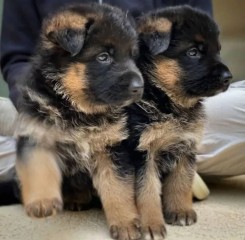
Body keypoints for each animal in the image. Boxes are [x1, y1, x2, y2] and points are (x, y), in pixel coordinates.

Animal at [15, 3, 144, 240]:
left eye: (133, 56)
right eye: (104, 57)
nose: (139, 88)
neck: (75, 107)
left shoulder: (111, 148)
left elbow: (118, 188)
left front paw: (126, 223)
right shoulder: (36, 134)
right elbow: (39, 168)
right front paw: (42, 201)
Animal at [124, 6, 232, 240]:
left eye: (218, 50)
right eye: (193, 52)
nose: (229, 77)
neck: (168, 103)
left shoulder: (186, 147)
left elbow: (181, 183)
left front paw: (180, 211)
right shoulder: (142, 152)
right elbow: (147, 191)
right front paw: (152, 224)